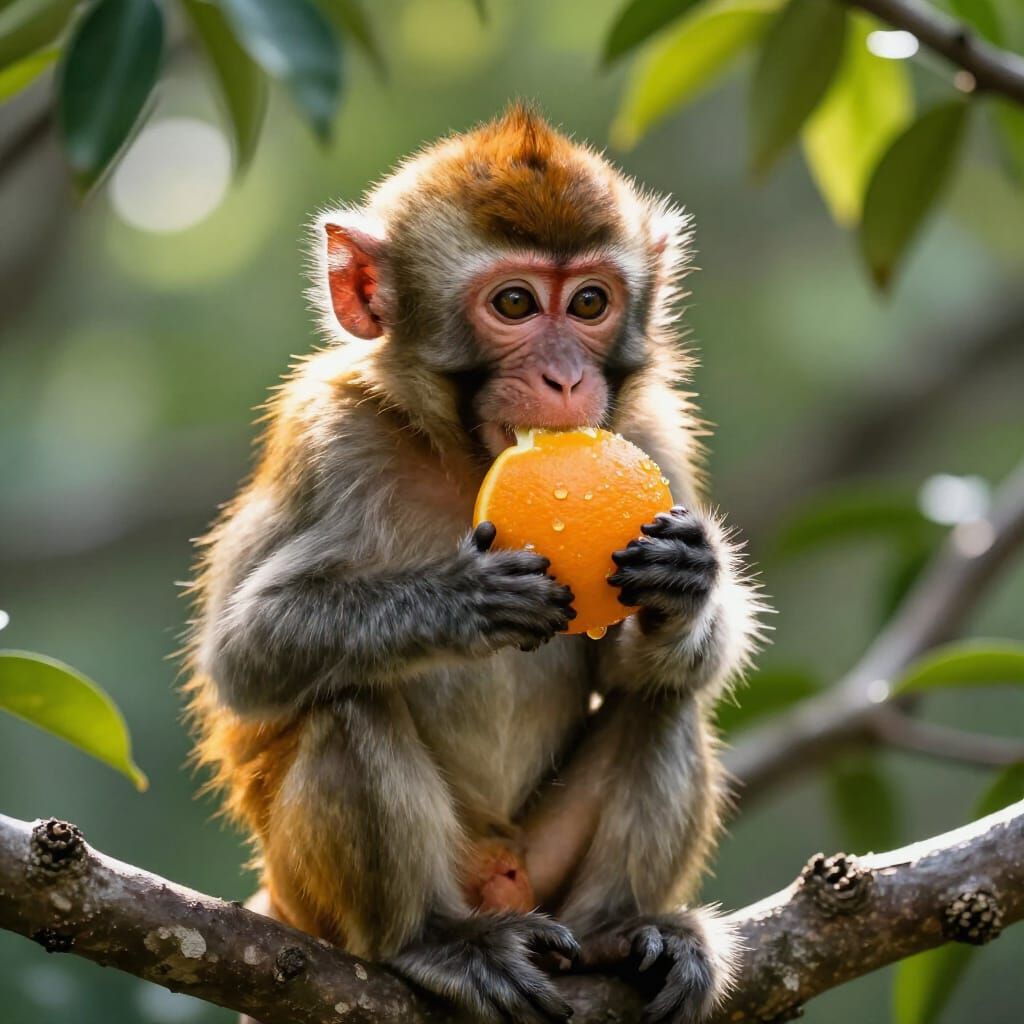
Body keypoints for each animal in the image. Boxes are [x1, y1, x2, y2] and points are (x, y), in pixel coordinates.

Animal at [185, 105, 761, 1024]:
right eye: (516, 303)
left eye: (590, 302)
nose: (564, 378)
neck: (465, 459)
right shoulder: (330, 438)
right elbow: (244, 659)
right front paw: (456, 601)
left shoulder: (652, 435)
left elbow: (640, 666)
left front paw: (685, 583)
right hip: (316, 894)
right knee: (348, 700)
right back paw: (431, 941)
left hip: (545, 867)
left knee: (663, 701)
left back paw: (621, 932)